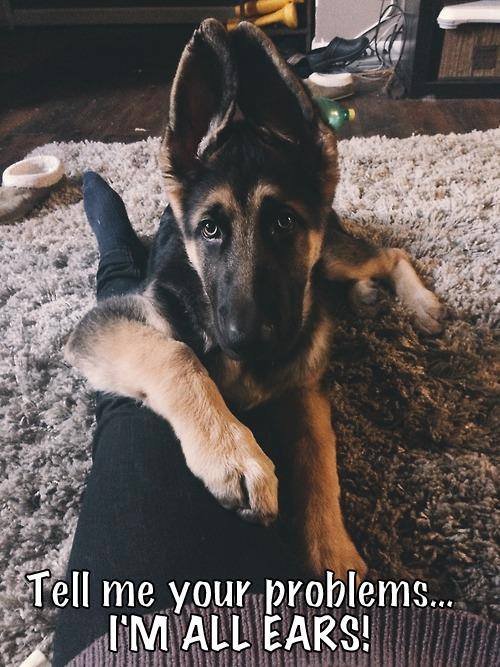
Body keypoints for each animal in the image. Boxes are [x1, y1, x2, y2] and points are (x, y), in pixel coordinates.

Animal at [65, 17, 442, 580]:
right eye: (210, 230)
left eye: (284, 222)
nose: (247, 341)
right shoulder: (109, 322)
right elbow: (176, 355)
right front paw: (232, 453)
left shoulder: (306, 389)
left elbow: (320, 463)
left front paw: (335, 555)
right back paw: (369, 295)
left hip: (331, 253)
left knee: (389, 253)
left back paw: (417, 304)